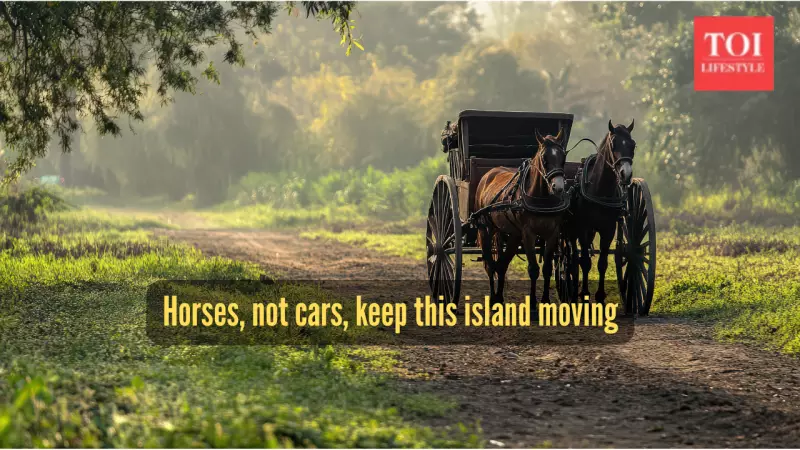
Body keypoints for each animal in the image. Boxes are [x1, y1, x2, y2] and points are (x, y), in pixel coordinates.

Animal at [474, 129, 569, 311]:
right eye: (544, 158)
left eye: (563, 157)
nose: (558, 187)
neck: (541, 198)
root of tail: (489, 174)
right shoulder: (528, 234)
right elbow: (533, 269)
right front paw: (532, 305)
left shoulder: (552, 233)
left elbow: (546, 268)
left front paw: (545, 301)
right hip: (485, 229)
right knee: (490, 265)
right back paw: (493, 298)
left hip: (512, 235)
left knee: (501, 265)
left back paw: (499, 298)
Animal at [568, 119, 637, 306]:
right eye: (613, 144)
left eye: (633, 144)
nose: (626, 174)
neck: (599, 190)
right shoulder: (583, 227)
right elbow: (585, 261)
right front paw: (584, 294)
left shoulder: (608, 229)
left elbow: (602, 263)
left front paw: (599, 296)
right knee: (573, 255)